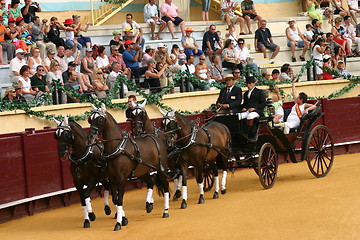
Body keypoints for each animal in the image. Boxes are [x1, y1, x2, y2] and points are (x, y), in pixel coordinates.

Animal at [87, 103, 172, 231]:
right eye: (90, 119)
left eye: (100, 120)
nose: (91, 136)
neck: (117, 148)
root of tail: (155, 138)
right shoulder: (112, 180)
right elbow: (116, 200)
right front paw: (123, 219)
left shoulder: (121, 179)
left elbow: (120, 200)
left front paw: (118, 223)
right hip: (142, 172)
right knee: (150, 182)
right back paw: (149, 205)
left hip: (161, 169)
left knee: (166, 187)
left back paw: (165, 211)